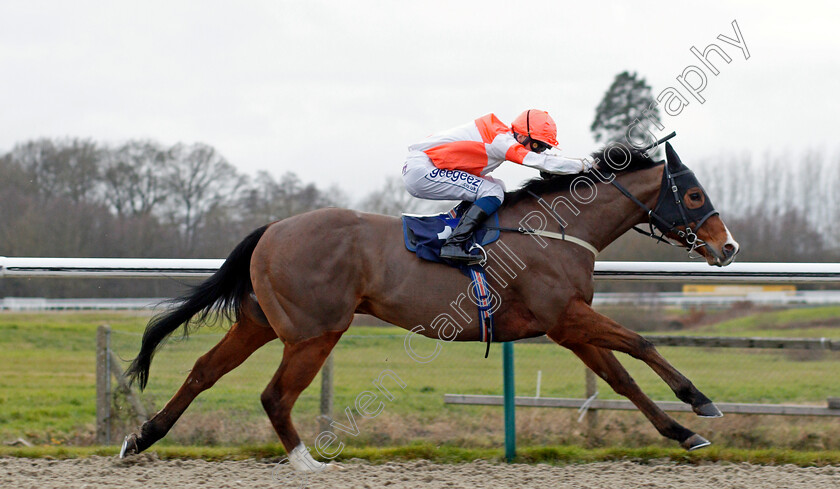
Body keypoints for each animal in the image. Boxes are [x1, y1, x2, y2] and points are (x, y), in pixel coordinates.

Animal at [121, 141, 740, 468]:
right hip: (316, 330)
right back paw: (306, 462)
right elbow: (642, 342)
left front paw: (683, 431)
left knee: (204, 372)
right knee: (275, 395)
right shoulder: (566, 316)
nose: (727, 246)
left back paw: (142, 437)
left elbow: (622, 379)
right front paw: (700, 401)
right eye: (693, 194)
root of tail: (273, 228)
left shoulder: (568, 327)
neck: (559, 231)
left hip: (262, 323)